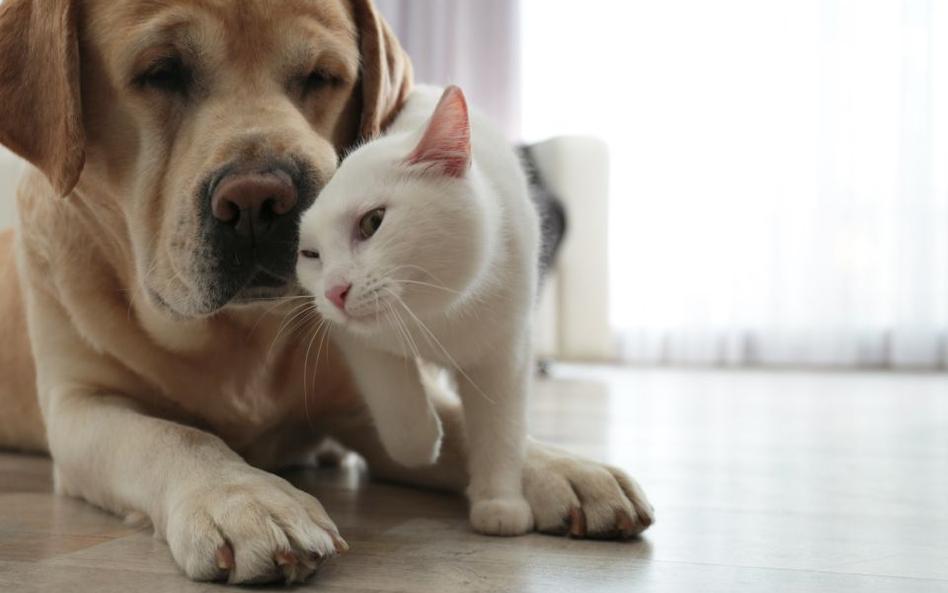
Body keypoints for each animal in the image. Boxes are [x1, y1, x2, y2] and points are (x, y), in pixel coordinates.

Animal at [296, 85, 536, 536]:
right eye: (310, 255)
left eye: (373, 221)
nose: (334, 291)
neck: (437, 317)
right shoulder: (357, 340)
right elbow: (400, 413)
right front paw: (425, 445)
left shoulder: (505, 355)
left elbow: (500, 431)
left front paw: (500, 502)